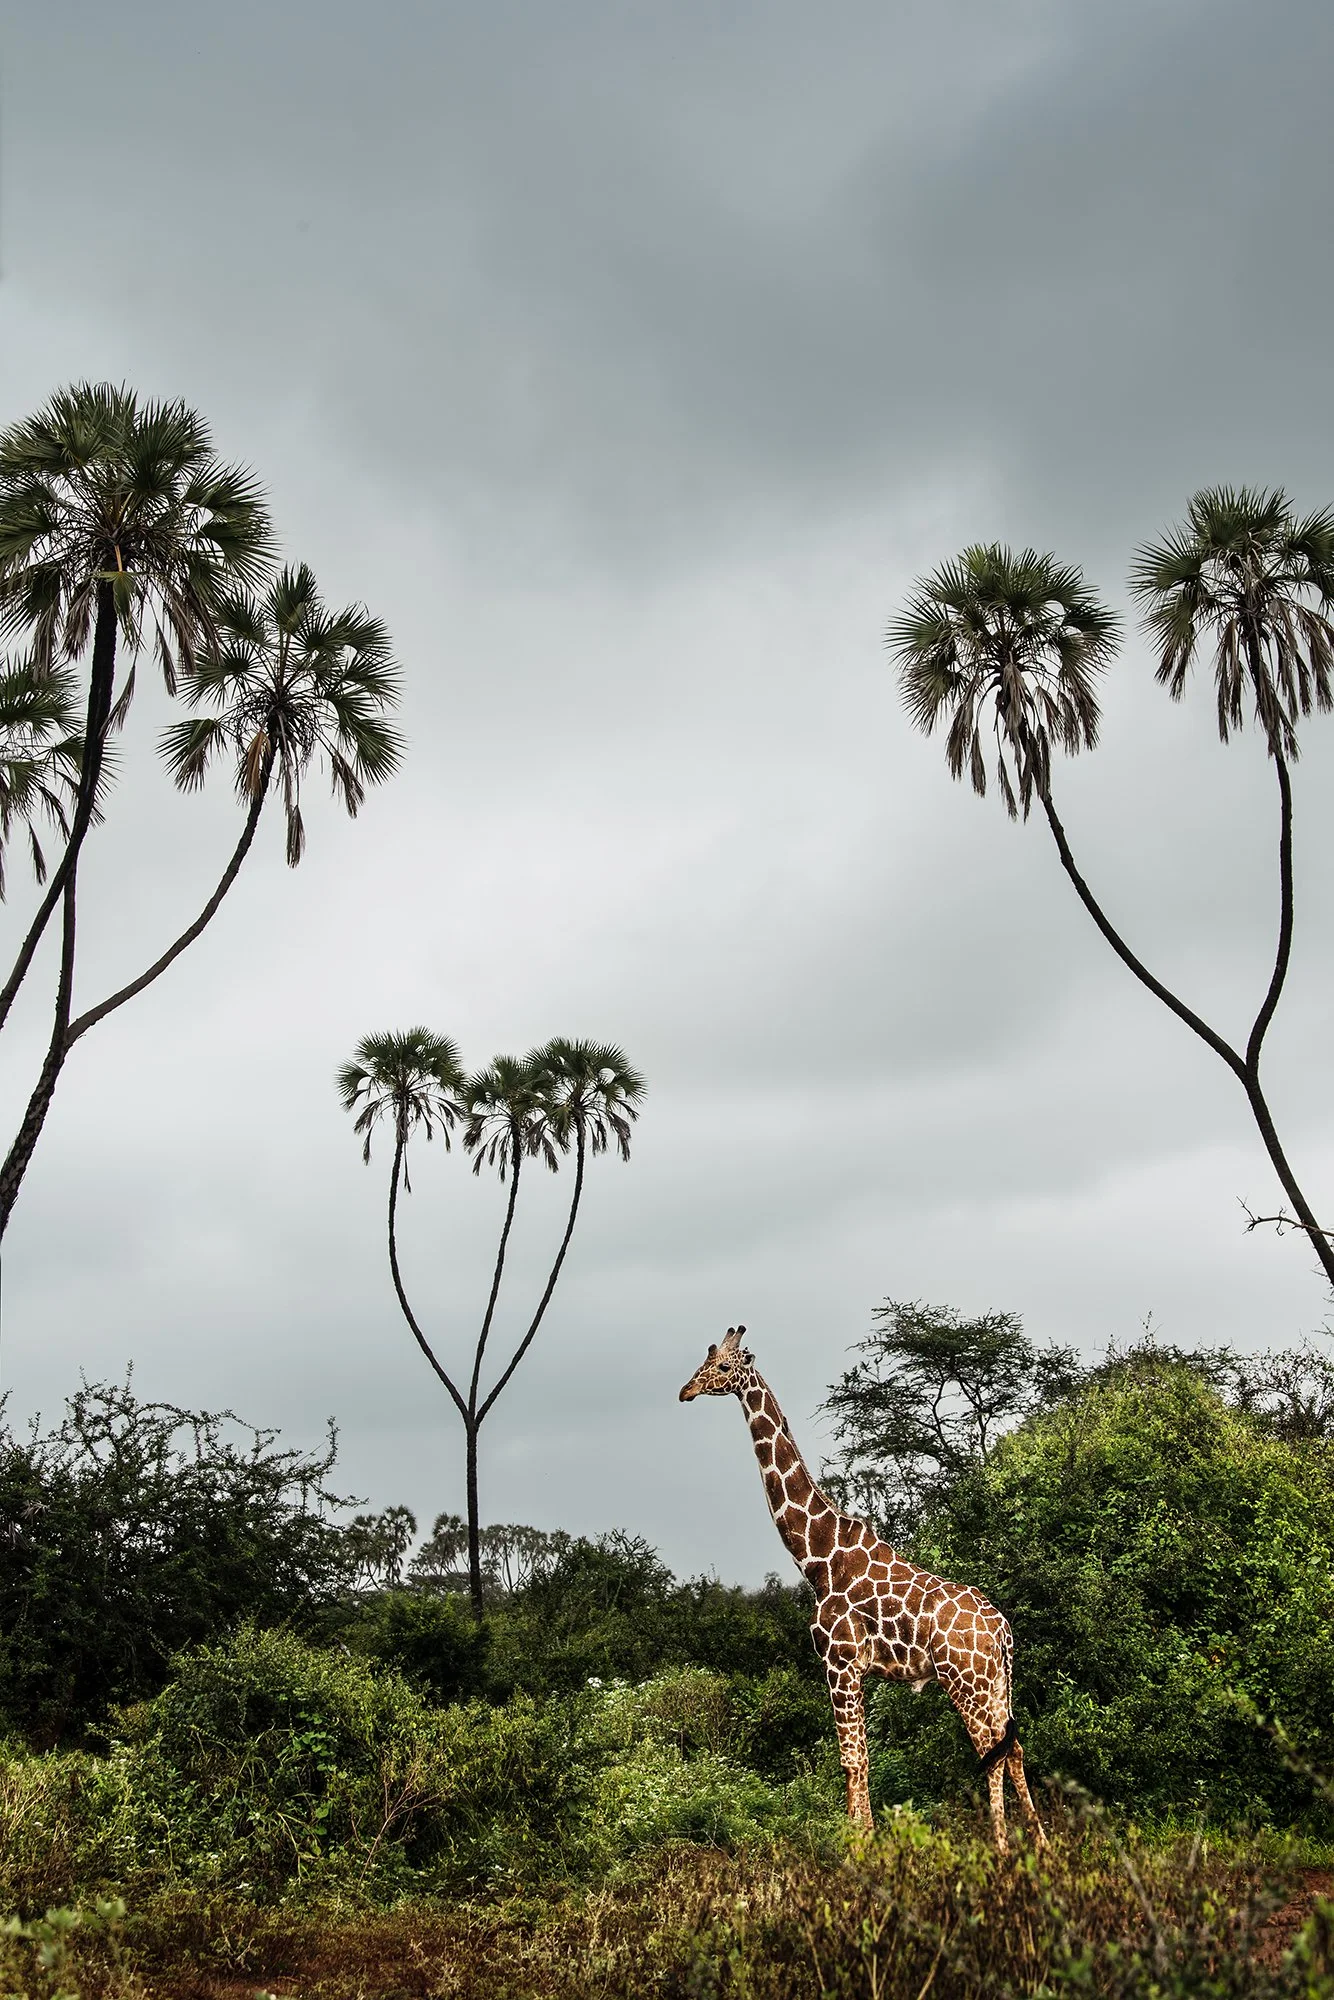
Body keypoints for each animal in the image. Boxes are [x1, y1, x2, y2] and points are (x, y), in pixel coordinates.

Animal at [679, 1324, 1045, 1850]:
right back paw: (1041, 1845)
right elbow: (860, 1759)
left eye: (724, 1367)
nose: (685, 1390)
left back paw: (1000, 1846)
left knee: (991, 1754)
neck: (817, 1558)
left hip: (965, 1681)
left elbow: (852, 1759)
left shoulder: (839, 1661)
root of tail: (1002, 1632)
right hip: (997, 1681)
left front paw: (859, 1847)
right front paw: (865, 1839)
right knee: (1012, 1749)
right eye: (704, 1358)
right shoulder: (854, 1669)